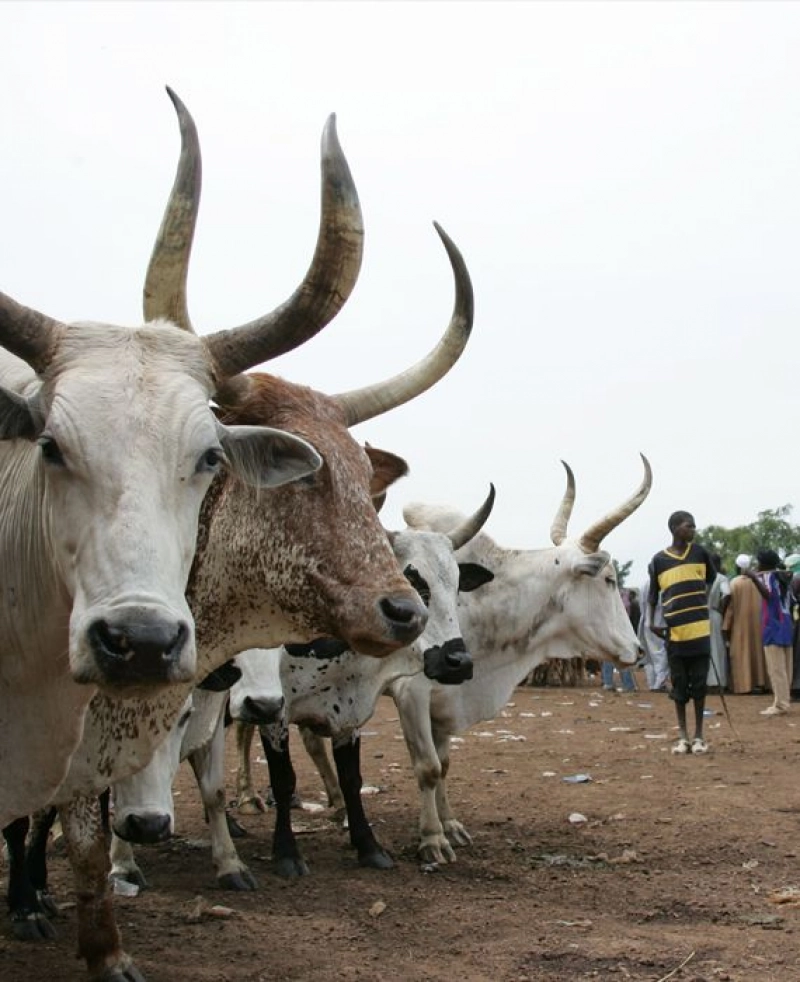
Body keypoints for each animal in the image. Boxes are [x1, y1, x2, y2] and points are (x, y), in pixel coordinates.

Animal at [390, 458, 652, 864]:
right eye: (609, 579)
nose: (638, 652)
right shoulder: (411, 694)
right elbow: (428, 768)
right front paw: (432, 838)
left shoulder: (447, 700)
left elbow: (444, 765)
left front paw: (450, 825)